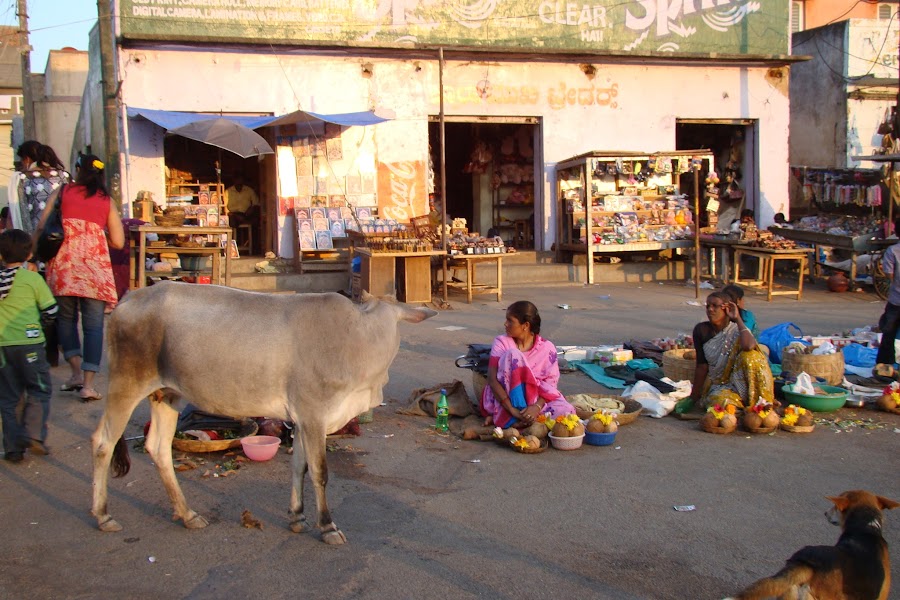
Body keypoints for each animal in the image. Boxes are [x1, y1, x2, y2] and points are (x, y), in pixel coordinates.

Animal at [93, 282, 438, 544]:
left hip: (167, 395)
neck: (359, 338)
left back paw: (188, 514)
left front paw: (297, 517)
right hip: (125, 385)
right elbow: (320, 472)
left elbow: (299, 467)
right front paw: (327, 526)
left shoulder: (301, 419)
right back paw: (103, 515)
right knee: (102, 443)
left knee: (159, 448)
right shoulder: (314, 414)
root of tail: (129, 298)